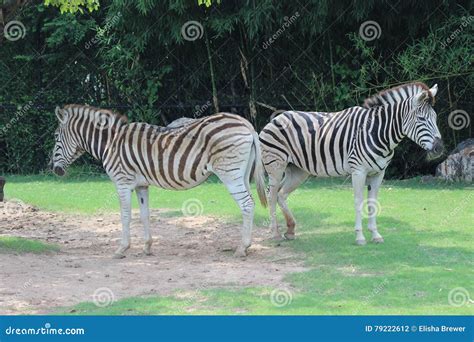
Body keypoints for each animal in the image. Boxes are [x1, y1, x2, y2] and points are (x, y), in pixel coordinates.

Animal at [52, 105, 266, 258]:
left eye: (55, 137)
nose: (54, 170)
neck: (111, 143)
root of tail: (244, 123)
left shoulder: (122, 182)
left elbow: (125, 216)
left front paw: (121, 249)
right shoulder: (141, 185)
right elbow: (144, 215)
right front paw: (147, 247)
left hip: (229, 173)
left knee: (247, 204)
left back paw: (241, 248)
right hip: (242, 173)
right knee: (250, 204)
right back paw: (246, 246)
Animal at [260, 82, 444, 244]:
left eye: (435, 118)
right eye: (421, 119)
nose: (439, 148)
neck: (378, 132)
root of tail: (277, 117)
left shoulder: (378, 173)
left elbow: (373, 203)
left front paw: (375, 235)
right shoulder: (358, 171)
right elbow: (358, 201)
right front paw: (360, 237)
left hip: (298, 170)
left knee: (282, 194)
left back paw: (290, 230)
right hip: (276, 165)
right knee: (272, 194)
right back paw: (275, 233)